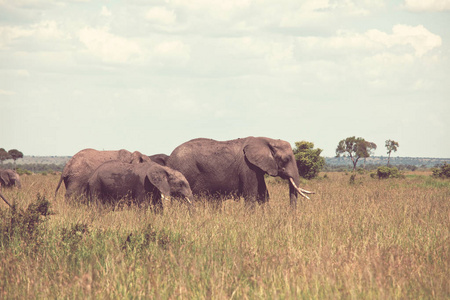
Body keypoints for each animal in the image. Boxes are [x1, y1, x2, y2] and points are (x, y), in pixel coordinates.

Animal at [166, 137, 312, 209]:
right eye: (286, 159)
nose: (291, 216)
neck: (268, 140)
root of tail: (169, 158)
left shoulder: (256, 169)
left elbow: (264, 196)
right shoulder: (247, 167)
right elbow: (251, 196)